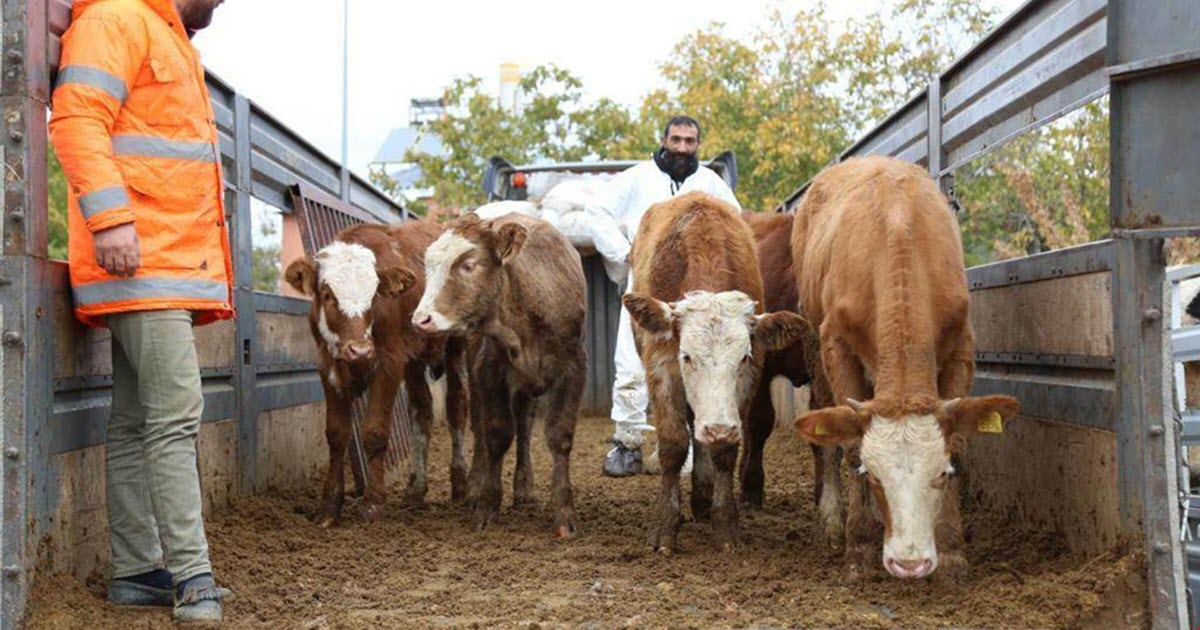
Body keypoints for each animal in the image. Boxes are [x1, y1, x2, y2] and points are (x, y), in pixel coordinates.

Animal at [284, 220, 468, 525]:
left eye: (374, 296)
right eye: (327, 295)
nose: (359, 350)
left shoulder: (388, 364)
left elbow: (375, 432)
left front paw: (373, 504)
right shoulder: (328, 367)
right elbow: (336, 434)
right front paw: (330, 506)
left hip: (457, 347)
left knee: (456, 408)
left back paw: (461, 484)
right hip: (413, 360)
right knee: (422, 410)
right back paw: (416, 490)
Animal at [410, 211, 588, 535]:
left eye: (468, 265)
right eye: (429, 266)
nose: (421, 320)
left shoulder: (574, 368)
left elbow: (559, 436)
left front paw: (565, 515)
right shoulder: (489, 369)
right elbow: (496, 433)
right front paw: (486, 505)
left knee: (525, 426)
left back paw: (524, 488)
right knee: (481, 427)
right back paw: (474, 488)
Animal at [619, 192, 806, 549]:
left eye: (744, 357)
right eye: (686, 356)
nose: (719, 427)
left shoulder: (749, 382)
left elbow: (725, 450)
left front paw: (725, 524)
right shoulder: (662, 367)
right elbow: (674, 444)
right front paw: (665, 526)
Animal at [792, 154, 1017, 578]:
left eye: (941, 474)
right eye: (873, 475)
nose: (909, 564)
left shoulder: (961, 345)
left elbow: (958, 442)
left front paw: (951, 551)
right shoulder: (836, 344)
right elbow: (850, 446)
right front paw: (860, 544)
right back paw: (832, 520)